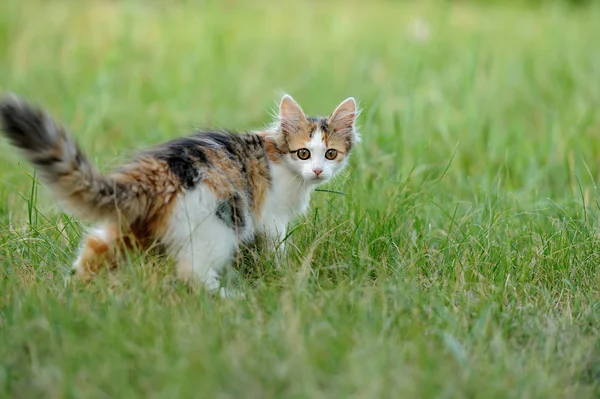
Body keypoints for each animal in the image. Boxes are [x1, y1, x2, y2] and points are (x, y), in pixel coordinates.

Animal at [0, 94, 358, 298]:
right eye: (303, 153)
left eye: (330, 154)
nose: (317, 171)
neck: (280, 159)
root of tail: (157, 174)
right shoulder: (271, 219)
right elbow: (277, 248)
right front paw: (283, 275)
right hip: (219, 225)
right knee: (192, 272)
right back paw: (230, 297)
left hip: (124, 231)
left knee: (91, 254)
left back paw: (68, 298)